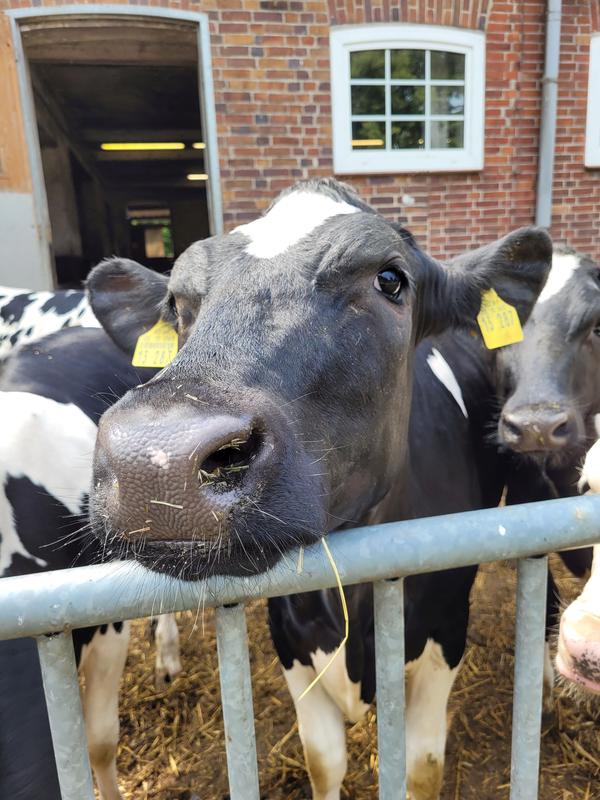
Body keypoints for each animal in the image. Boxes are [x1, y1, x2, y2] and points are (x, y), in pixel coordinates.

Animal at [84, 181, 552, 800]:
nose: (154, 460)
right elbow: (323, 761)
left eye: (390, 279)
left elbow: (422, 767)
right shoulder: (290, 638)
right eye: (176, 305)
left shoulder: (446, 631)